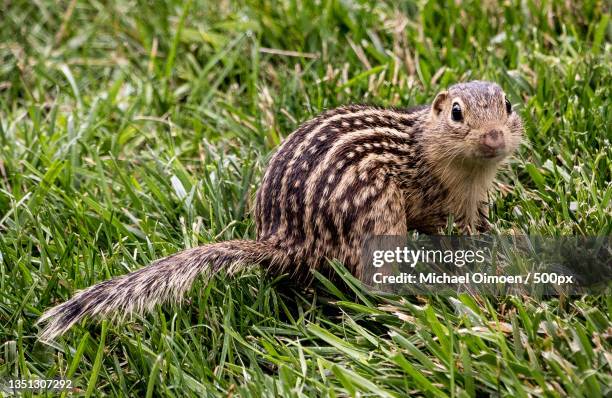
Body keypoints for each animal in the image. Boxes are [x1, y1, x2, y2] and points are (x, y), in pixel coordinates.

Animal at [38, 80, 524, 338]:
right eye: (457, 113)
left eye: (508, 105)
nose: (494, 137)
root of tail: (284, 242)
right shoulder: (436, 197)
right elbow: (453, 230)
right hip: (377, 222)